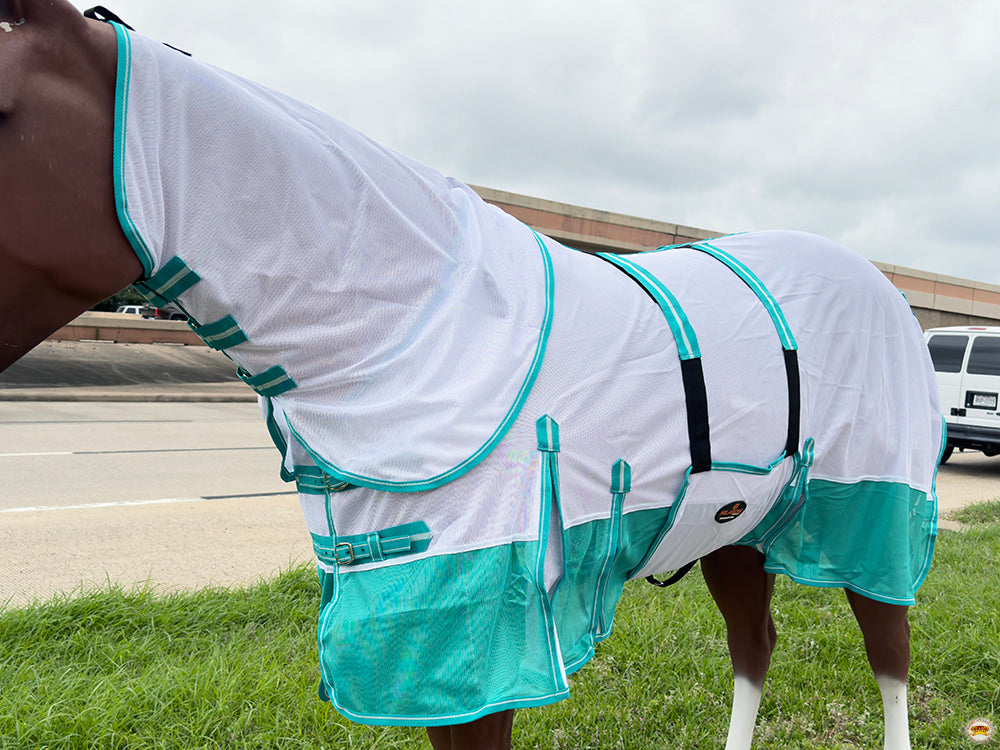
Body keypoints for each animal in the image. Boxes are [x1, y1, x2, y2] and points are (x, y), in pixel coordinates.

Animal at [0, 3, 942, 748]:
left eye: (7, 111)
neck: (414, 323)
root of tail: (882, 288)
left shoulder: (478, 645)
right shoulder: (412, 641)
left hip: (871, 512)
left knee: (889, 656)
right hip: (732, 527)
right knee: (755, 649)